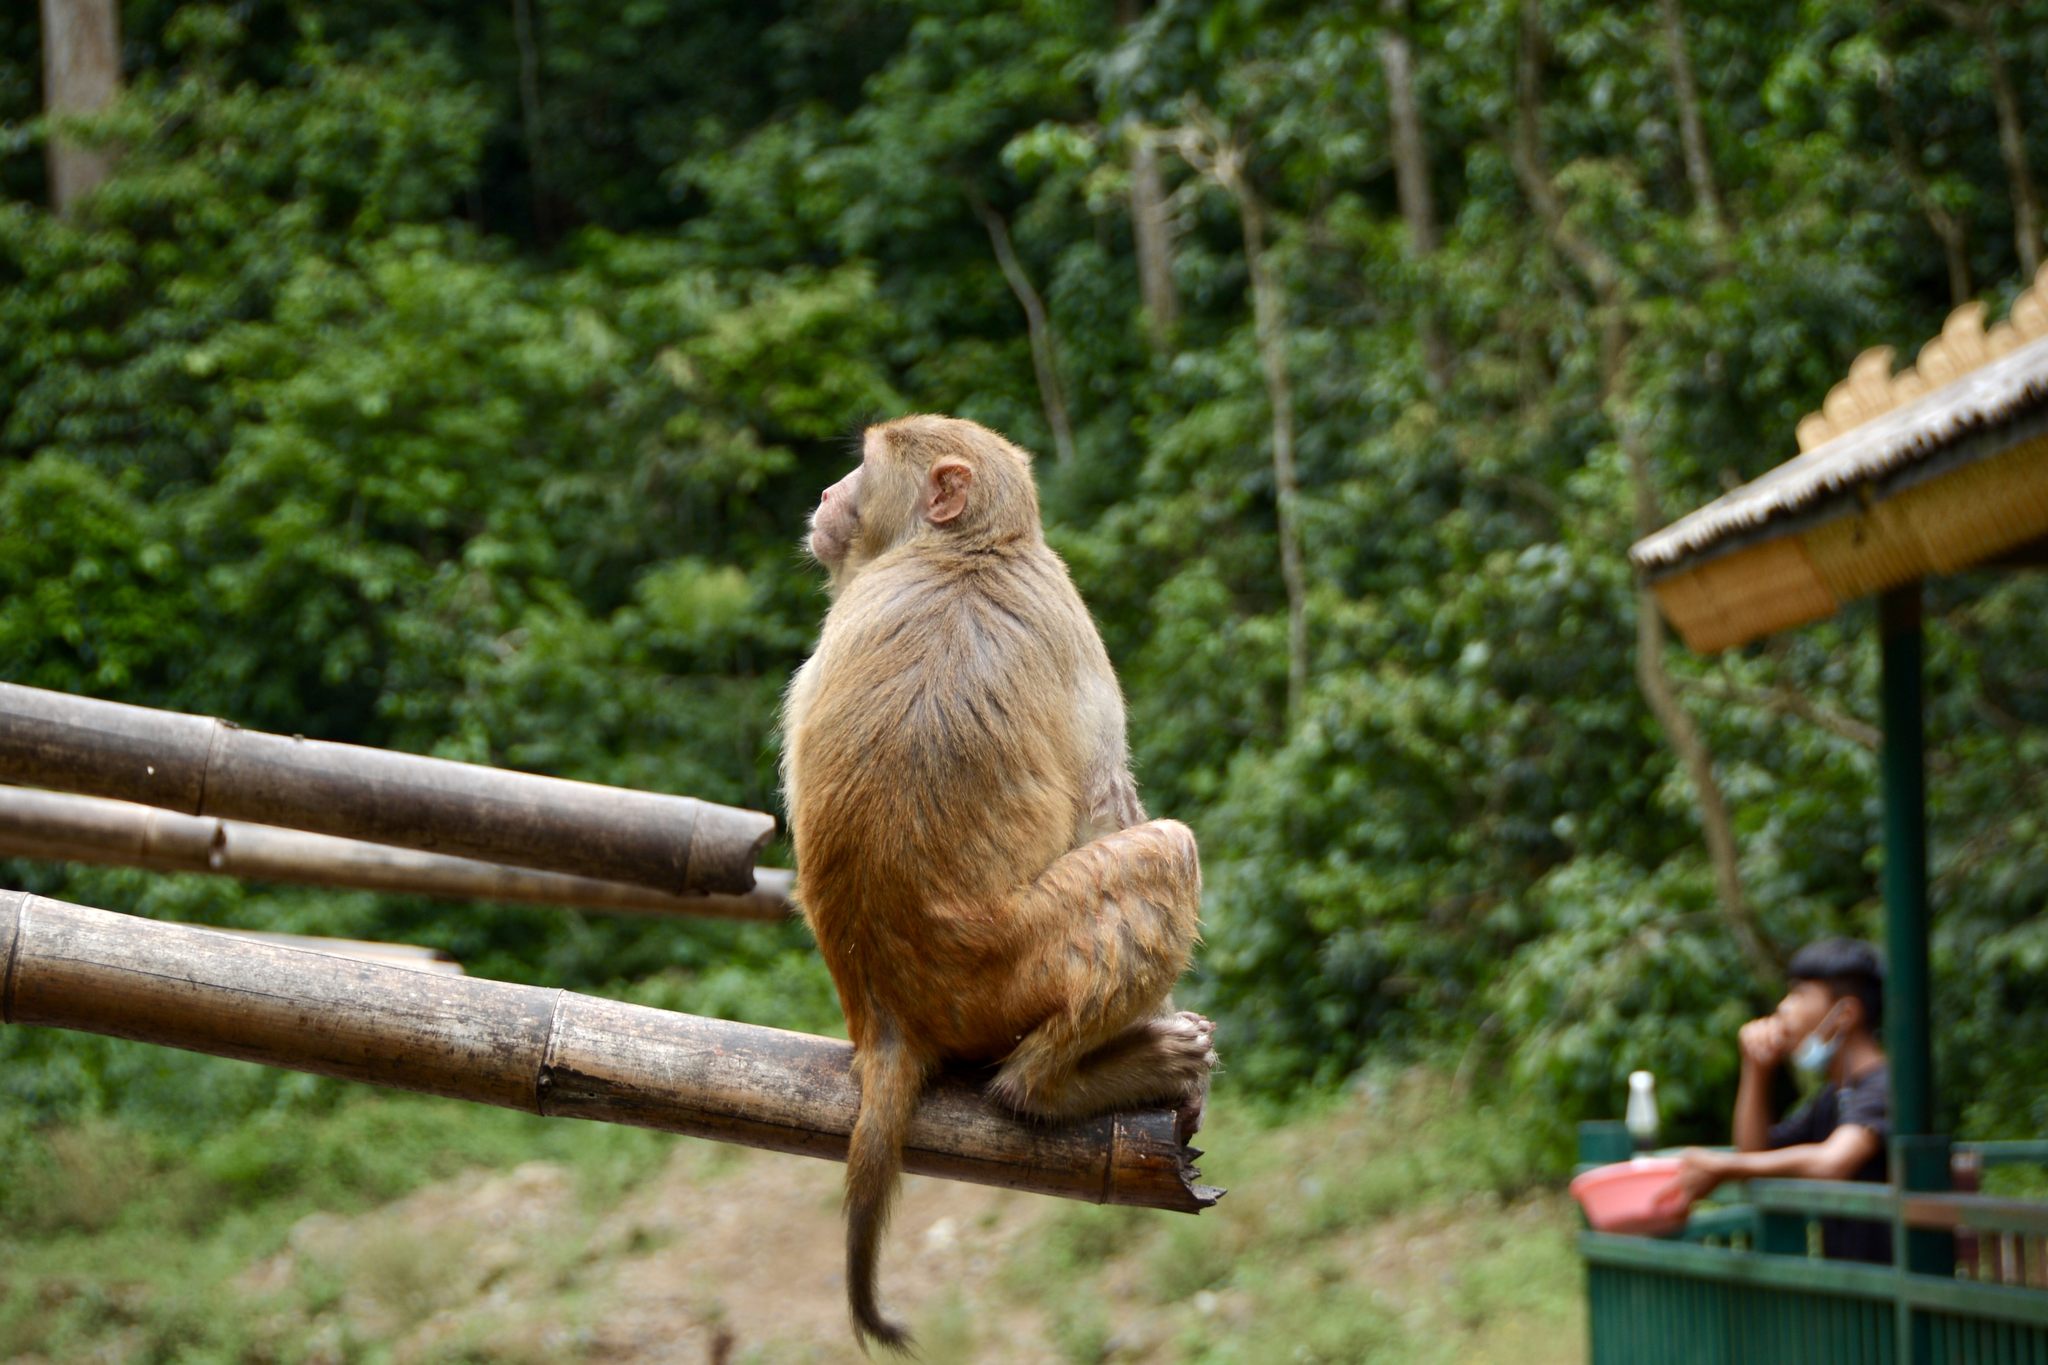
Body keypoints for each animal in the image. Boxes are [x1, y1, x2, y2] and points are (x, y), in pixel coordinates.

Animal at [774, 411, 1204, 1350]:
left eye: (862, 467)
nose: (824, 492)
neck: (969, 548)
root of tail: (890, 1020)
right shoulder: (1069, 613)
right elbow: (1106, 797)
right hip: (1007, 976)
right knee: (1168, 851)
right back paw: (1053, 1085)